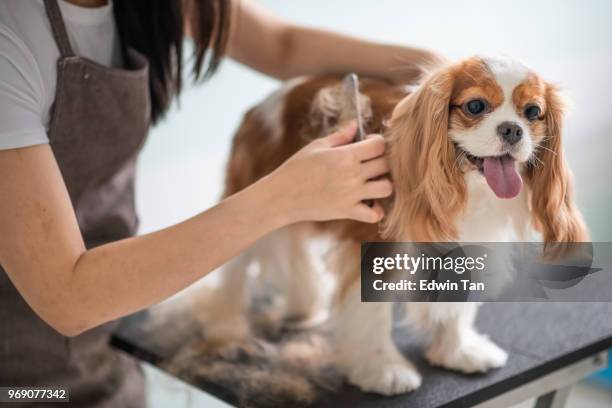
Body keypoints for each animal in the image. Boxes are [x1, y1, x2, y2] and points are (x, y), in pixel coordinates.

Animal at [204, 55, 588, 396]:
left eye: (533, 112)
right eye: (476, 106)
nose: (512, 129)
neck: (468, 190)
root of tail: (260, 107)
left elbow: (458, 304)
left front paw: (457, 351)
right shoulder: (376, 248)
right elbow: (373, 314)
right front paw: (383, 371)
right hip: (254, 209)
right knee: (235, 271)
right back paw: (224, 327)